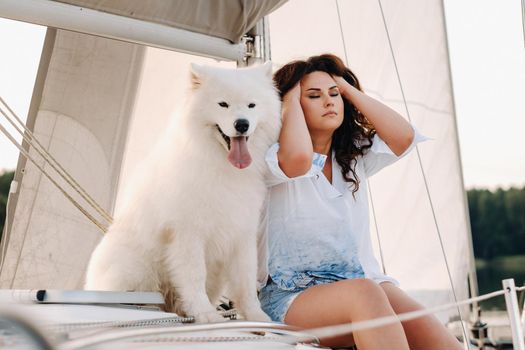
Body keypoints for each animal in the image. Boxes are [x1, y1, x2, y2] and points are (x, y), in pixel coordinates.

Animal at [85, 62, 280, 322]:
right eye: (223, 104)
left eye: (252, 105)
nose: (242, 124)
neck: (220, 166)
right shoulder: (188, 234)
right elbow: (194, 277)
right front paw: (207, 315)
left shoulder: (241, 234)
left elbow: (246, 283)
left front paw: (259, 318)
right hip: (136, 270)